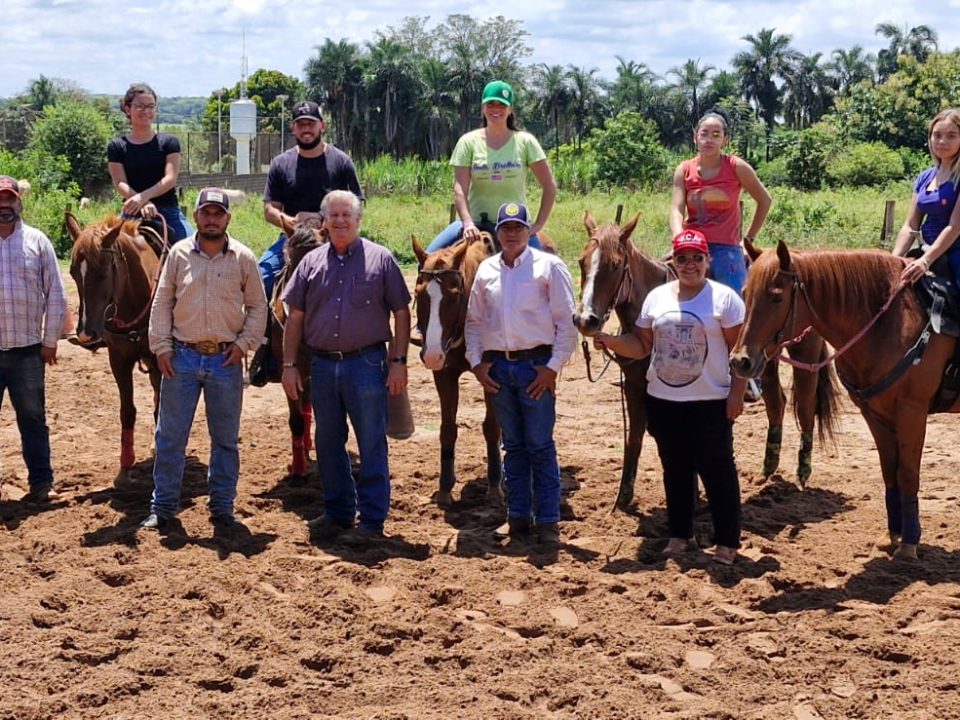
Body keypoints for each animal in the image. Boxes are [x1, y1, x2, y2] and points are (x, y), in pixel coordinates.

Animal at [65, 211, 163, 470]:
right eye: (73, 273)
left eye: (103, 272)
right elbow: (127, 410)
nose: (86, 333)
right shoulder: (118, 360)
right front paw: (126, 461)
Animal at [412, 235, 502, 506]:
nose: (432, 354)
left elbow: (491, 427)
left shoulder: (492, 376)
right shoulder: (444, 374)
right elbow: (447, 429)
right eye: (418, 293)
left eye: (453, 295)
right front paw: (444, 489)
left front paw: (495, 487)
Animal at [572, 211, 836, 510]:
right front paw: (623, 498)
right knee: (776, 401)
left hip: (805, 351)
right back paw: (767, 469)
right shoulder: (635, 385)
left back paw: (803, 472)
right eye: (582, 261)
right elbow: (636, 437)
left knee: (805, 406)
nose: (585, 319)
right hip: (764, 359)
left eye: (615, 265)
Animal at [728, 245, 952, 560]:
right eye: (745, 293)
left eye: (776, 296)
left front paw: (909, 545)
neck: (890, 323)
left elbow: (907, 473)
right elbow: (889, 472)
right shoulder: (874, 413)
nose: (740, 361)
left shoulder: (912, 411)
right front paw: (891, 536)